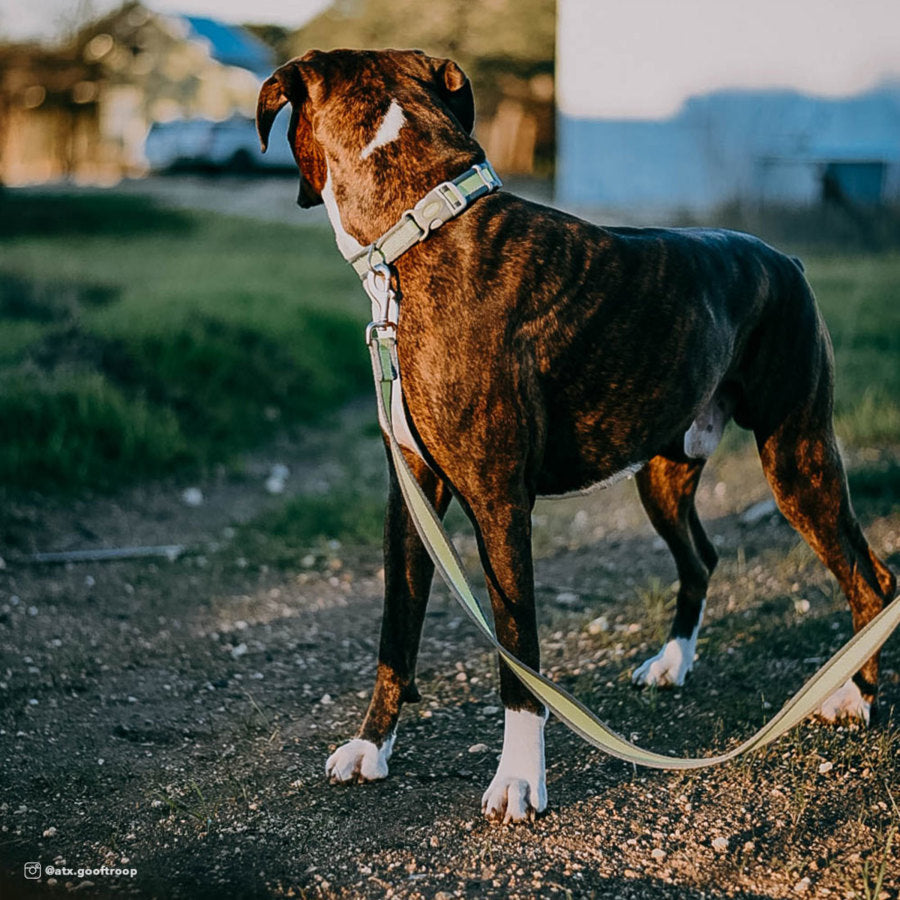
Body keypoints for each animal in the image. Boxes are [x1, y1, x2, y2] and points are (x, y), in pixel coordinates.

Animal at [256, 47, 896, 824]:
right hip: (664, 477)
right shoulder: (410, 500)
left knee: (870, 578)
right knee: (702, 558)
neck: (422, 225)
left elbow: (519, 655)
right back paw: (674, 661)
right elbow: (395, 631)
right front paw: (373, 746)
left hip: (797, 460)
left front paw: (518, 780)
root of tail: (788, 262)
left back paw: (854, 696)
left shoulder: (501, 509)